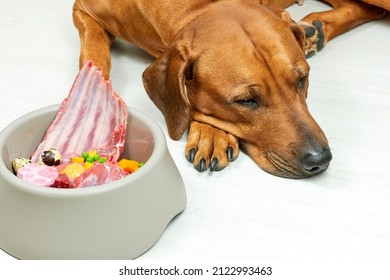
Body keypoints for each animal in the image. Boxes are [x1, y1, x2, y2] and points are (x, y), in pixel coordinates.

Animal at [72, 0, 386, 178]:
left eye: (302, 79)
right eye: (246, 101)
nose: (320, 160)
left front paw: (211, 134)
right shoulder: (82, 10)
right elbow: (94, 53)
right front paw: (91, 98)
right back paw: (315, 27)